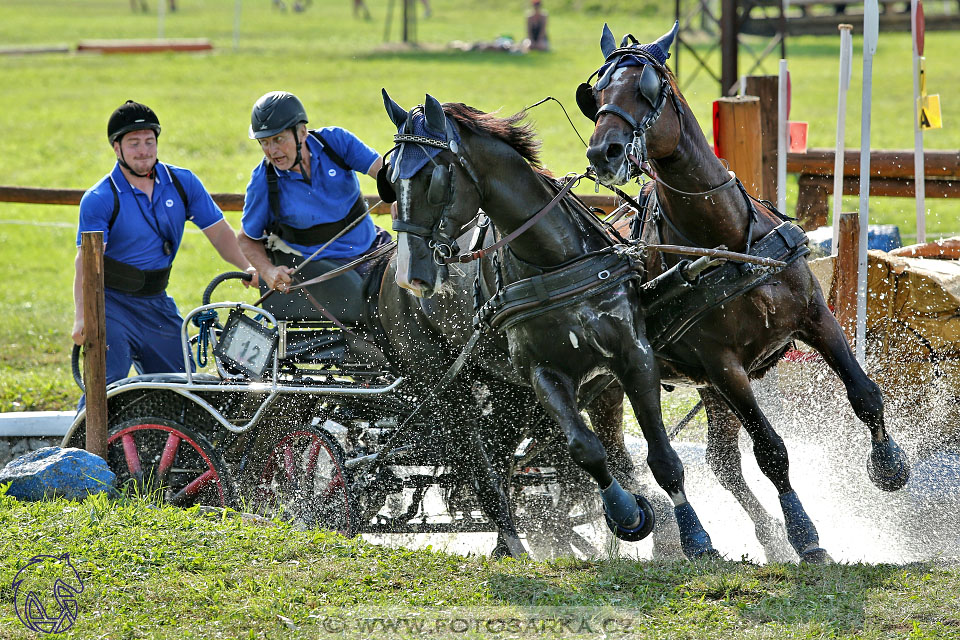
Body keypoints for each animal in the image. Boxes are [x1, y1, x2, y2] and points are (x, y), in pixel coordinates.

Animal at [378, 90, 724, 560]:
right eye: (390, 179)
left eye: (431, 177)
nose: (413, 277)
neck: (552, 257)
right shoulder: (544, 374)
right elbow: (585, 448)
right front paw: (626, 513)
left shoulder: (632, 354)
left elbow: (662, 456)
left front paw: (694, 536)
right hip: (448, 387)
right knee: (484, 473)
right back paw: (513, 545)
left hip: (507, 391)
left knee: (506, 462)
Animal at [576, 21, 908, 560]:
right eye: (597, 93)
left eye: (648, 88)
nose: (602, 153)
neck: (729, 243)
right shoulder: (723, 365)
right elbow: (771, 451)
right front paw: (805, 534)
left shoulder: (815, 317)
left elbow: (864, 394)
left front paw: (889, 465)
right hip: (615, 386)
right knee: (625, 458)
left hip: (700, 389)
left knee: (722, 462)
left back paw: (763, 537)